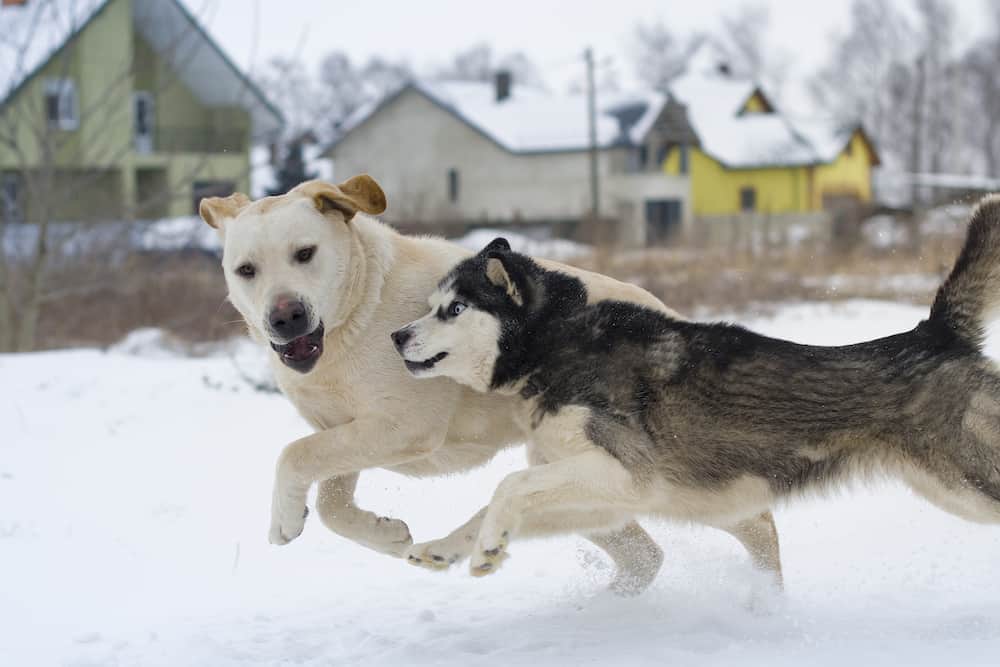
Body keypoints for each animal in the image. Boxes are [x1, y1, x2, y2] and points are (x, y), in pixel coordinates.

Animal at [201, 176, 780, 596]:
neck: (359, 309)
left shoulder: (401, 427)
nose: (286, 318)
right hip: (576, 476)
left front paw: (282, 519)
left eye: (305, 253)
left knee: (758, 525)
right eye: (246, 269)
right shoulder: (344, 430)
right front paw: (386, 534)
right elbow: (329, 501)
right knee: (645, 555)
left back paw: (768, 596)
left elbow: (295, 454)